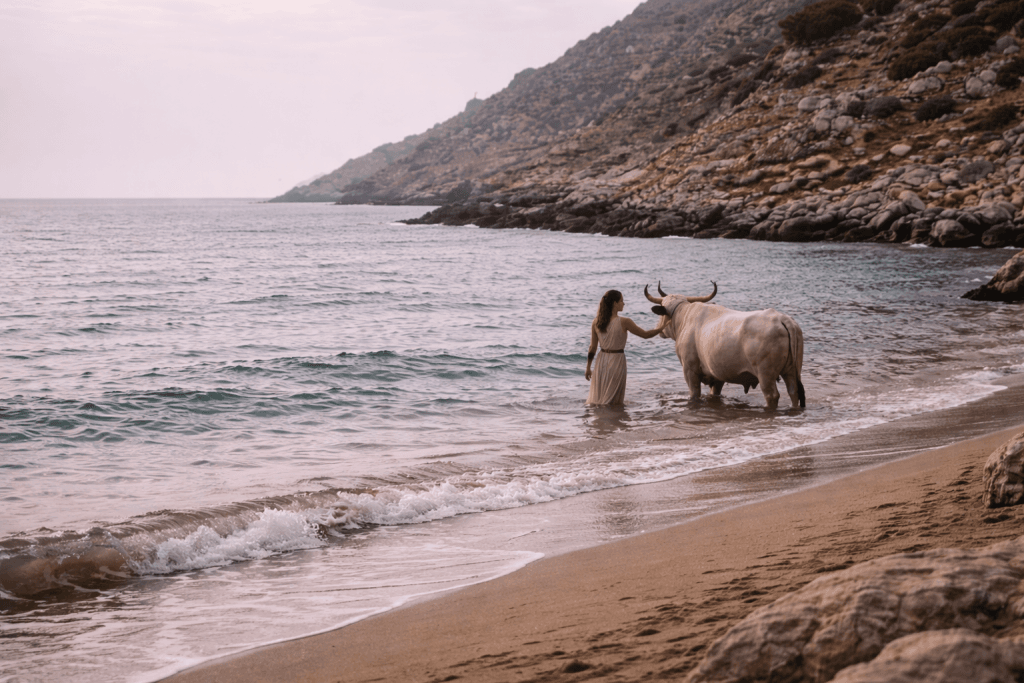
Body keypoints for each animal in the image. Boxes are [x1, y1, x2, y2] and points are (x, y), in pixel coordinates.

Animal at [645, 281, 805, 410]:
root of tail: (782, 319)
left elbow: (695, 394)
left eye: (661, 314)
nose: (659, 329)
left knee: (772, 395)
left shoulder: (690, 371)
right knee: (794, 392)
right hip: (791, 370)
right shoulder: (717, 375)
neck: (684, 317)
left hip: (766, 374)